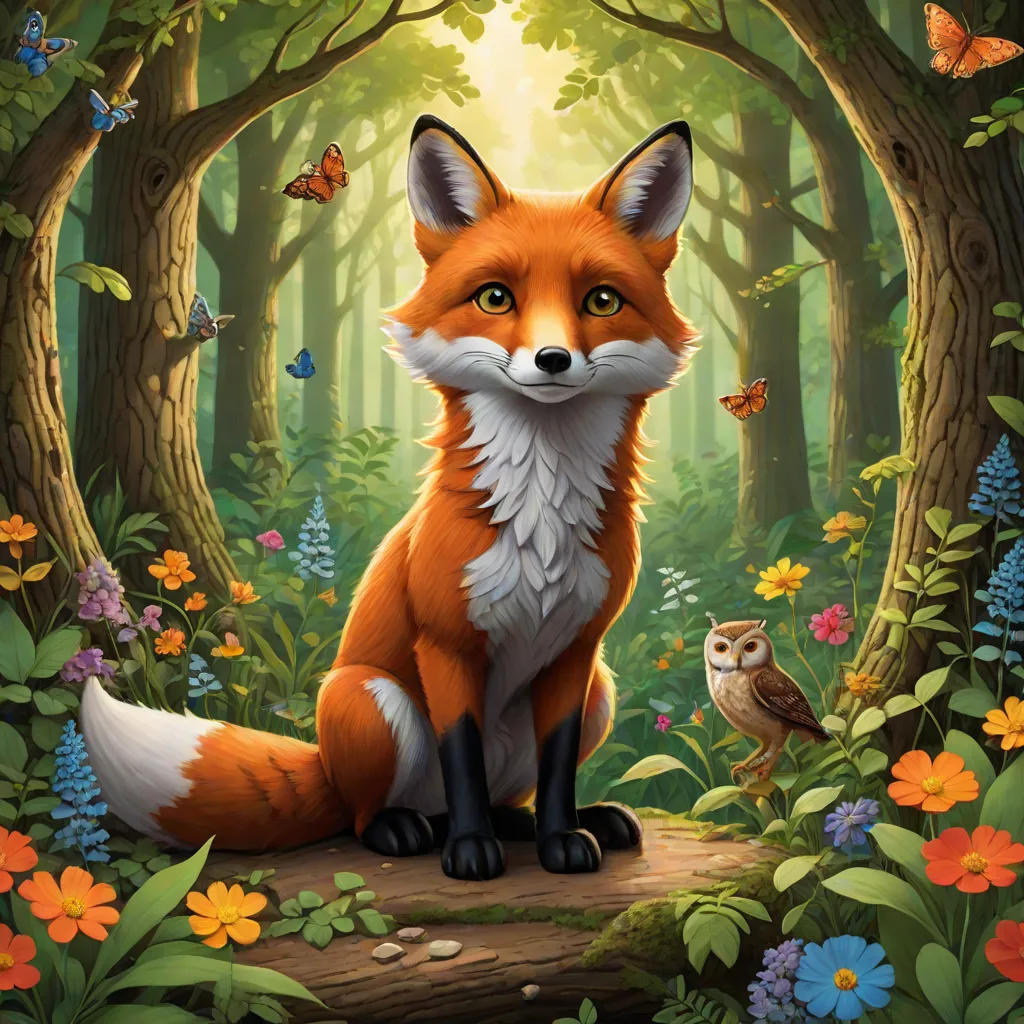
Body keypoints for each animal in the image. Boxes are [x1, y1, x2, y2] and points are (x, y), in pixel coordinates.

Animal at [81, 114, 698, 881]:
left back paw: (548, 823)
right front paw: (471, 853)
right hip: (371, 699)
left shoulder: (577, 651)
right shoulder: (445, 642)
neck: (539, 521)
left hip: (601, 695)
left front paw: (562, 838)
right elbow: (459, 753)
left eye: (602, 301)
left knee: (505, 794)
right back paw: (414, 829)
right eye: (496, 297)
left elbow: (557, 767)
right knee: (368, 814)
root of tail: (324, 765)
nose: (553, 361)